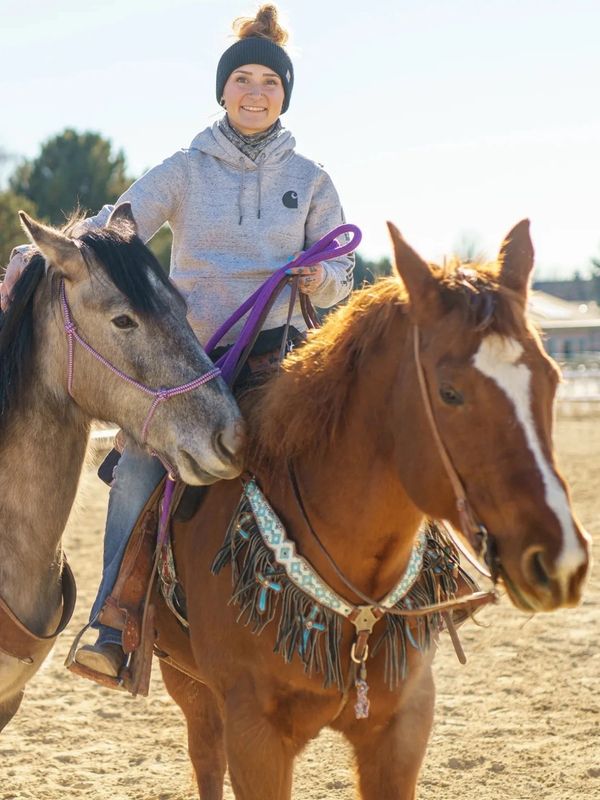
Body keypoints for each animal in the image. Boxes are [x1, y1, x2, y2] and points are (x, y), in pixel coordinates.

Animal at [152, 219, 590, 800]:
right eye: (449, 392)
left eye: (553, 378)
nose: (560, 559)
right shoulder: (254, 735)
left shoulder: (402, 727)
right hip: (188, 683)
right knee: (205, 759)